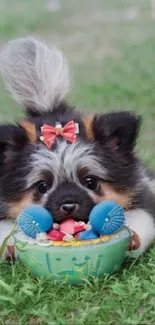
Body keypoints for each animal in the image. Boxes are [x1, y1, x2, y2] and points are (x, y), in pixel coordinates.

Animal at [0, 37, 155, 256]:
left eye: (90, 182)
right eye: (42, 187)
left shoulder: (141, 195)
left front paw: (133, 236)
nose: (68, 205)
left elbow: (141, 216)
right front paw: (10, 246)